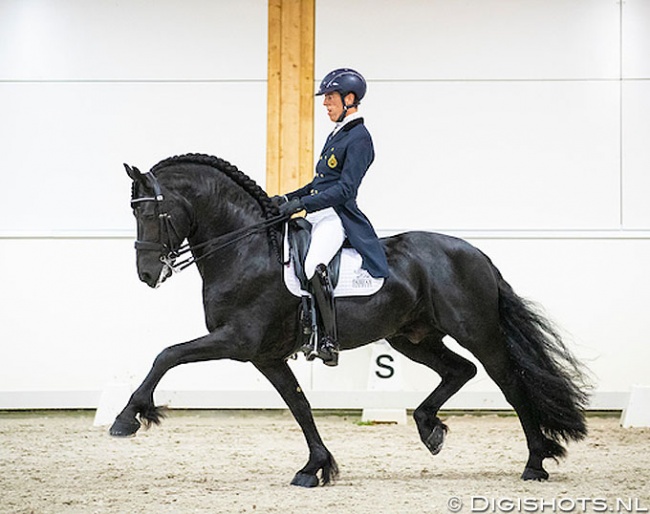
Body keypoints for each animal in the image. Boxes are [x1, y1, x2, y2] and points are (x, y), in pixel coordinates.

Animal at [111, 152, 588, 484]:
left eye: (150, 212)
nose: (147, 274)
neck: (246, 249)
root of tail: (479, 255)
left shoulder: (239, 340)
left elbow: (167, 354)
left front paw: (128, 417)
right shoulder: (265, 355)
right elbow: (299, 405)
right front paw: (316, 467)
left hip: (477, 332)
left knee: (509, 383)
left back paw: (535, 462)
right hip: (411, 337)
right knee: (460, 370)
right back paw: (429, 428)